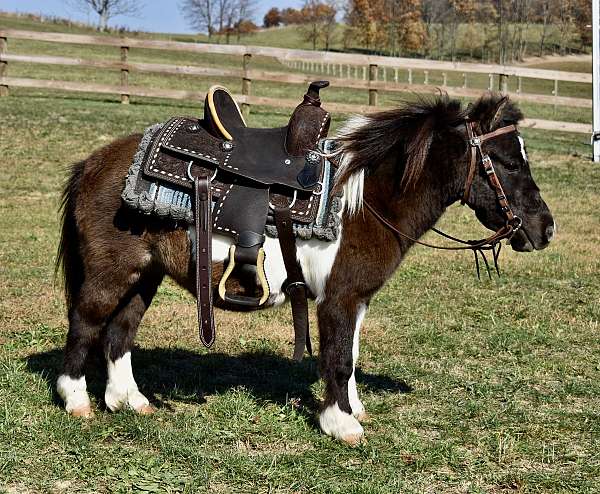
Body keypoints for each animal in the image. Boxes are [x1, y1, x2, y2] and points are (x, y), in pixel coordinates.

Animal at [55, 92, 552, 444]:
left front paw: (352, 408)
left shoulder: (356, 300)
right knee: (85, 323)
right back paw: (77, 400)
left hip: (145, 275)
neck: (365, 200)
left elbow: (350, 356)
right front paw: (342, 425)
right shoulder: (337, 300)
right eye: (509, 162)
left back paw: (129, 400)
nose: (545, 229)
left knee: (120, 330)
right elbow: (338, 359)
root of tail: (93, 162)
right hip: (110, 273)